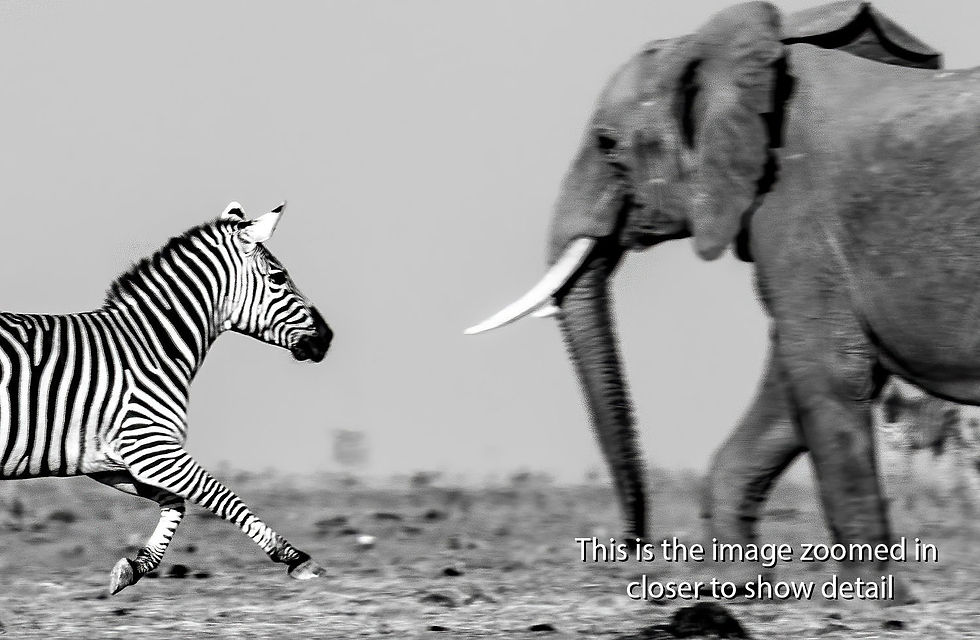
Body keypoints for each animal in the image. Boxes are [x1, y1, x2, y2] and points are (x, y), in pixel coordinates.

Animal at [0, 201, 334, 594]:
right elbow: (222, 496)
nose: (327, 338)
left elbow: (177, 503)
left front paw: (136, 566)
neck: (152, 346)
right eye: (279, 278)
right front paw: (295, 557)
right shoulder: (152, 447)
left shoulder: (113, 461)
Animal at [466, 1, 980, 598]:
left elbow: (825, 372)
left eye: (608, 146)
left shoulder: (794, 211)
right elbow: (788, 392)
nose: (630, 548)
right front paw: (735, 584)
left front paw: (868, 598)